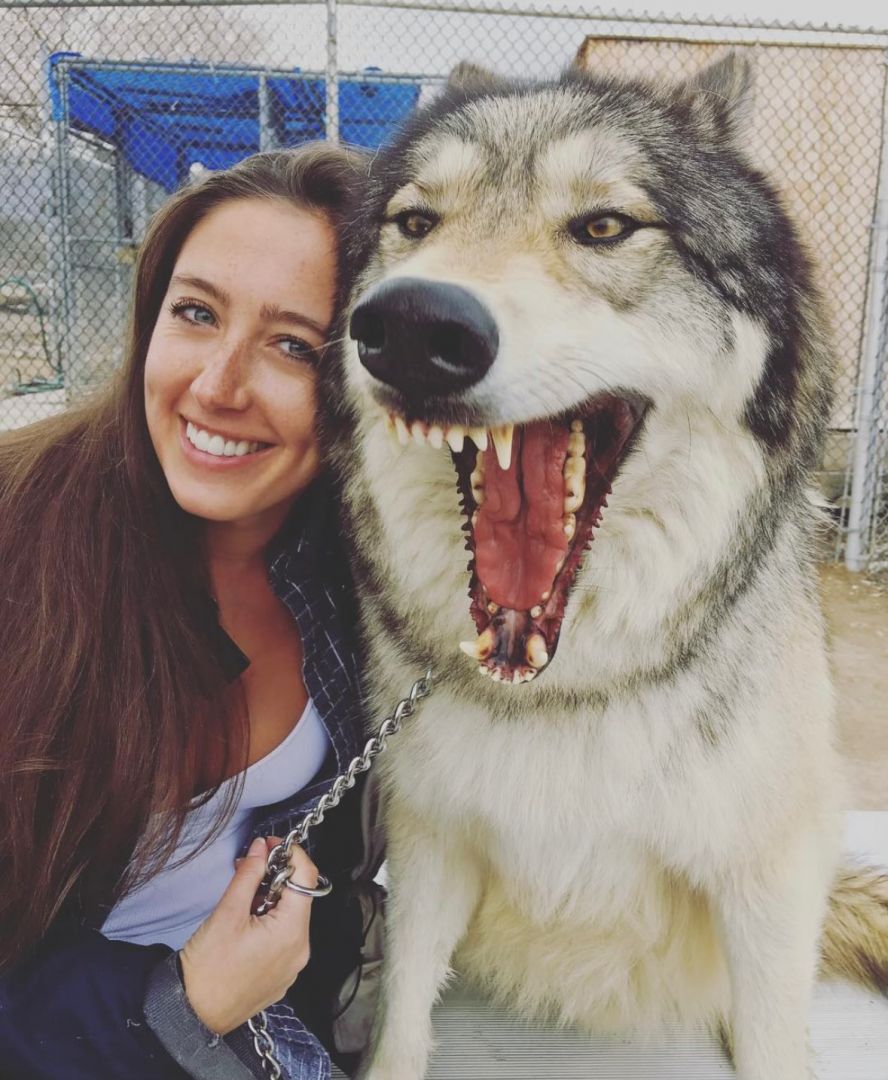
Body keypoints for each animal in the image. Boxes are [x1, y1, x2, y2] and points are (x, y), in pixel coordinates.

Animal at [321, 54, 888, 1080]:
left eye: (604, 226)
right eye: (417, 224)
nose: (413, 325)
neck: (566, 690)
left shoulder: (767, 869)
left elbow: (775, 1034)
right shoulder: (430, 840)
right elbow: (404, 1017)